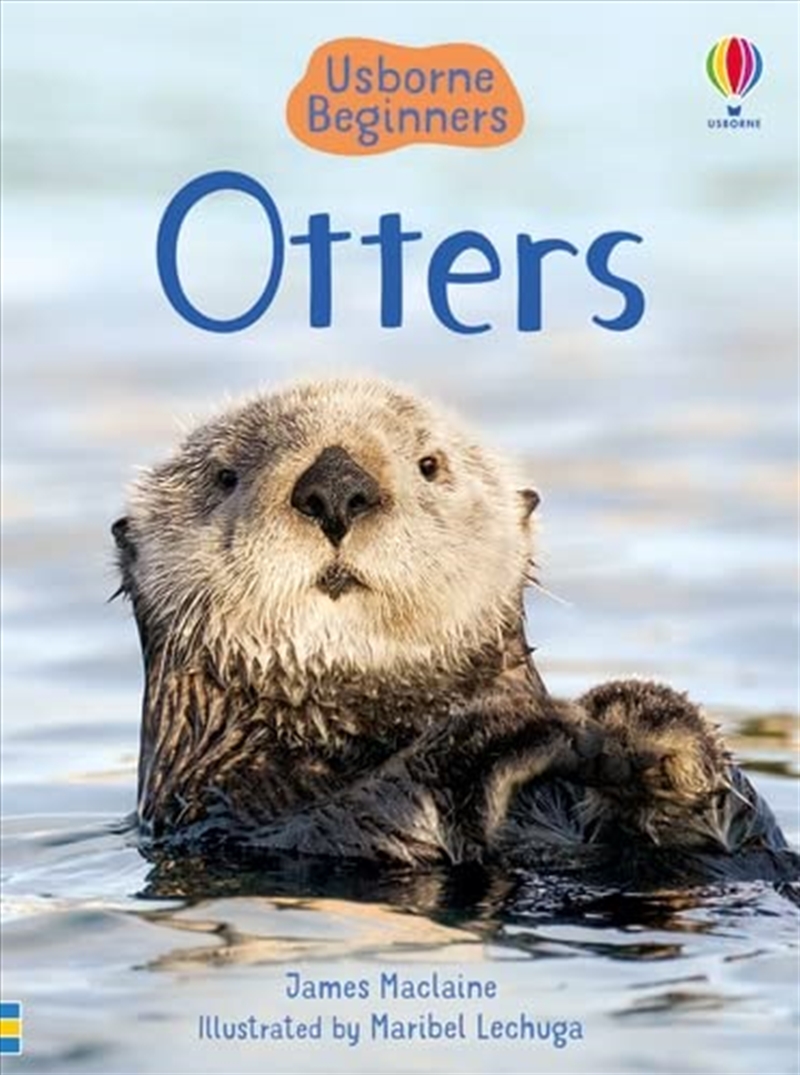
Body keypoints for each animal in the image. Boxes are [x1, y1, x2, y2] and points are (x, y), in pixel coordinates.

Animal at [113, 378, 796, 881]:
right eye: (224, 476)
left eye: (429, 464)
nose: (335, 487)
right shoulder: (225, 814)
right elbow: (343, 825)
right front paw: (511, 730)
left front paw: (646, 721)